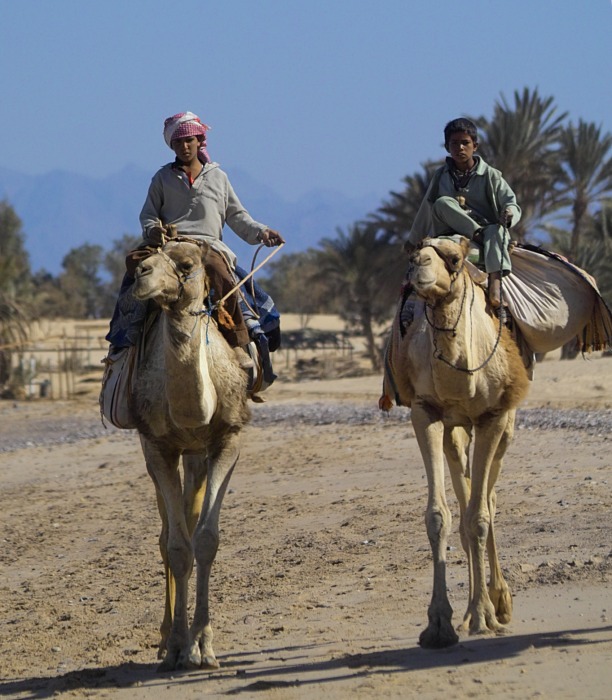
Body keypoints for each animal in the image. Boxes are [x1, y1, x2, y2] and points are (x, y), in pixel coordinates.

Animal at [130, 239, 250, 672]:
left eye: (185, 265)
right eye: (147, 257)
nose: (141, 273)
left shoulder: (228, 440)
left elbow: (206, 540)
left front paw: (204, 646)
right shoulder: (158, 447)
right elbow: (178, 547)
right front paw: (179, 647)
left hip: (197, 455)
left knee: (191, 513)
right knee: (167, 533)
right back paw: (166, 640)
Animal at [378, 238, 532, 648]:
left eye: (455, 258)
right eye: (413, 250)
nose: (418, 264)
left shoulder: (492, 417)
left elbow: (480, 516)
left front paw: (483, 615)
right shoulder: (426, 413)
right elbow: (440, 516)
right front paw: (439, 625)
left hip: (506, 425)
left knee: (487, 501)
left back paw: (498, 604)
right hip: (454, 432)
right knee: (464, 496)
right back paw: (474, 611)